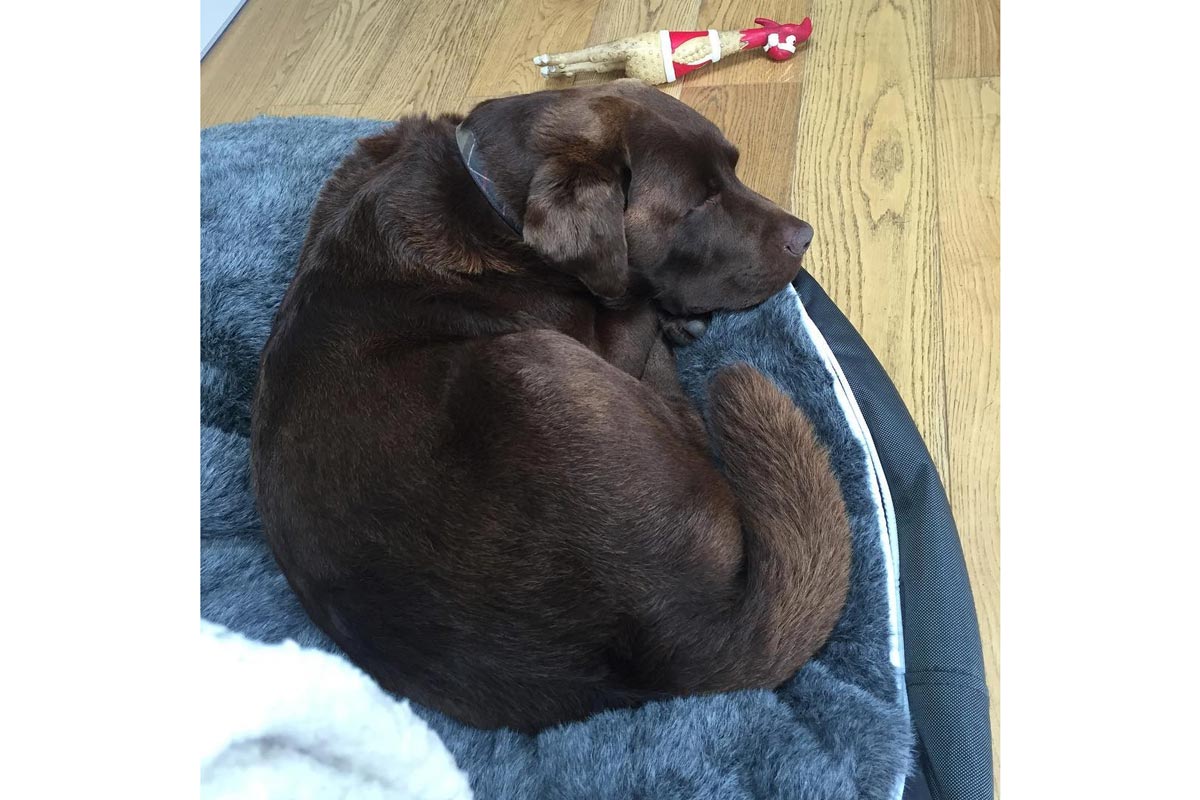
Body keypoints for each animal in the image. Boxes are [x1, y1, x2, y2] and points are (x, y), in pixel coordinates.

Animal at [251, 79, 851, 733]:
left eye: (735, 171)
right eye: (697, 205)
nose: (805, 236)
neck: (493, 198)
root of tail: (668, 644)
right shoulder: (603, 334)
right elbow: (635, 302)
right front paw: (670, 313)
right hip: (530, 359)